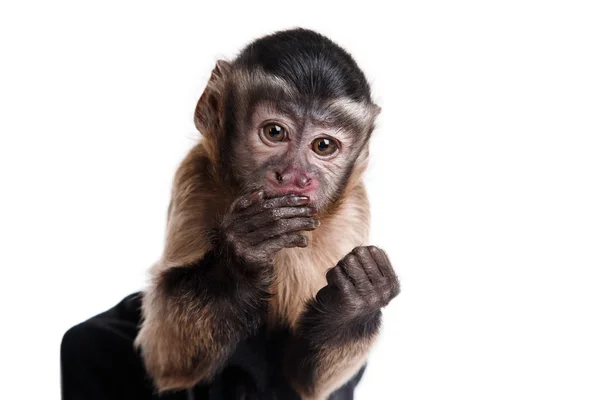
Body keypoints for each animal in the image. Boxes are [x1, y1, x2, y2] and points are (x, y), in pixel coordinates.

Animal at [59, 28, 398, 400]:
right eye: (274, 132)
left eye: (324, 146)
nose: (294, 176)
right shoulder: (195, 180)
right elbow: (167, 363)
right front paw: (243, 257)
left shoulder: (352, 212)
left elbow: (305, 382)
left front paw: (356, 301)